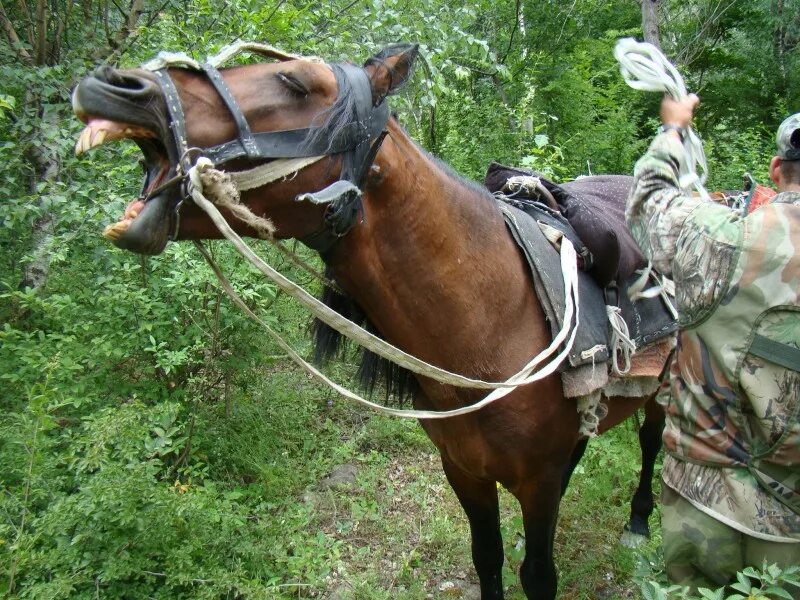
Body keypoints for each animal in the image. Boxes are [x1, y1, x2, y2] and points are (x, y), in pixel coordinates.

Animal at [73, 43, 664, 600]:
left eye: (295, 81)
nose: (115, 85)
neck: (496, 321)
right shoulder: (464, 471)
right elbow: (487, 559)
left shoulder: (535, 482)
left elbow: (538, 575)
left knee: (654, 441)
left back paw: (640, 521)